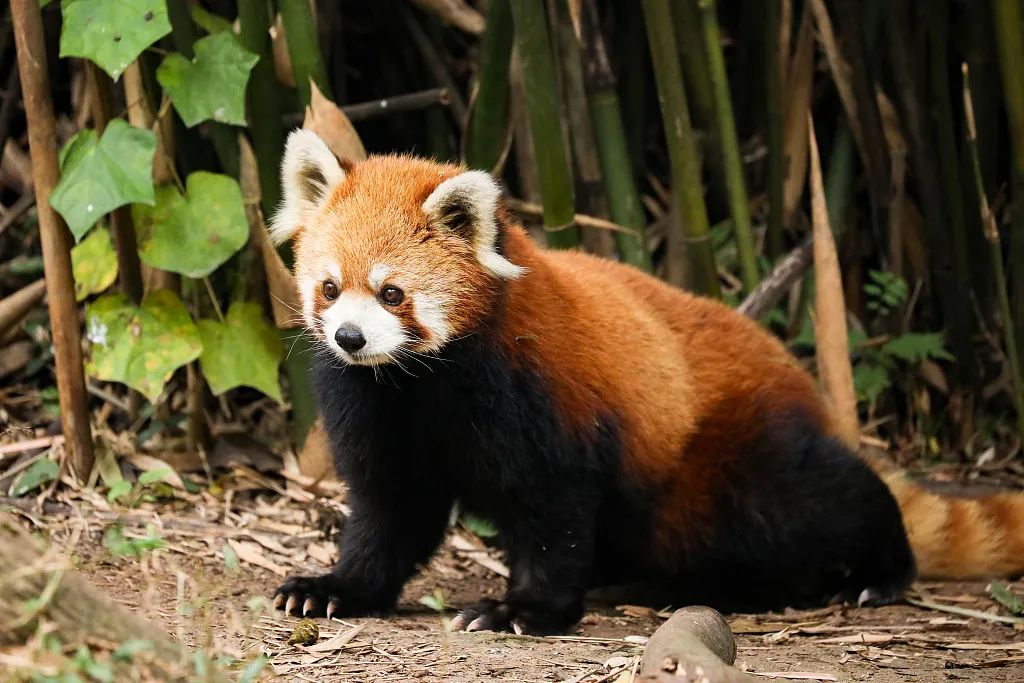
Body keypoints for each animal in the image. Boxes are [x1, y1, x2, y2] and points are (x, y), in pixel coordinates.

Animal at [270, 131, 1024, 638]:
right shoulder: (375, 406)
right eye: (330, 288)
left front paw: (523, 608)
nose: (350, 337)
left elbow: (552, 510)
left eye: (392, 293)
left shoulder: (542, 399)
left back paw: (879, 571)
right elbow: (391, 509)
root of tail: (797, 379)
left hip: (727, 458)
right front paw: (335, 587)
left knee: (816, 498)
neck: (421, 383)